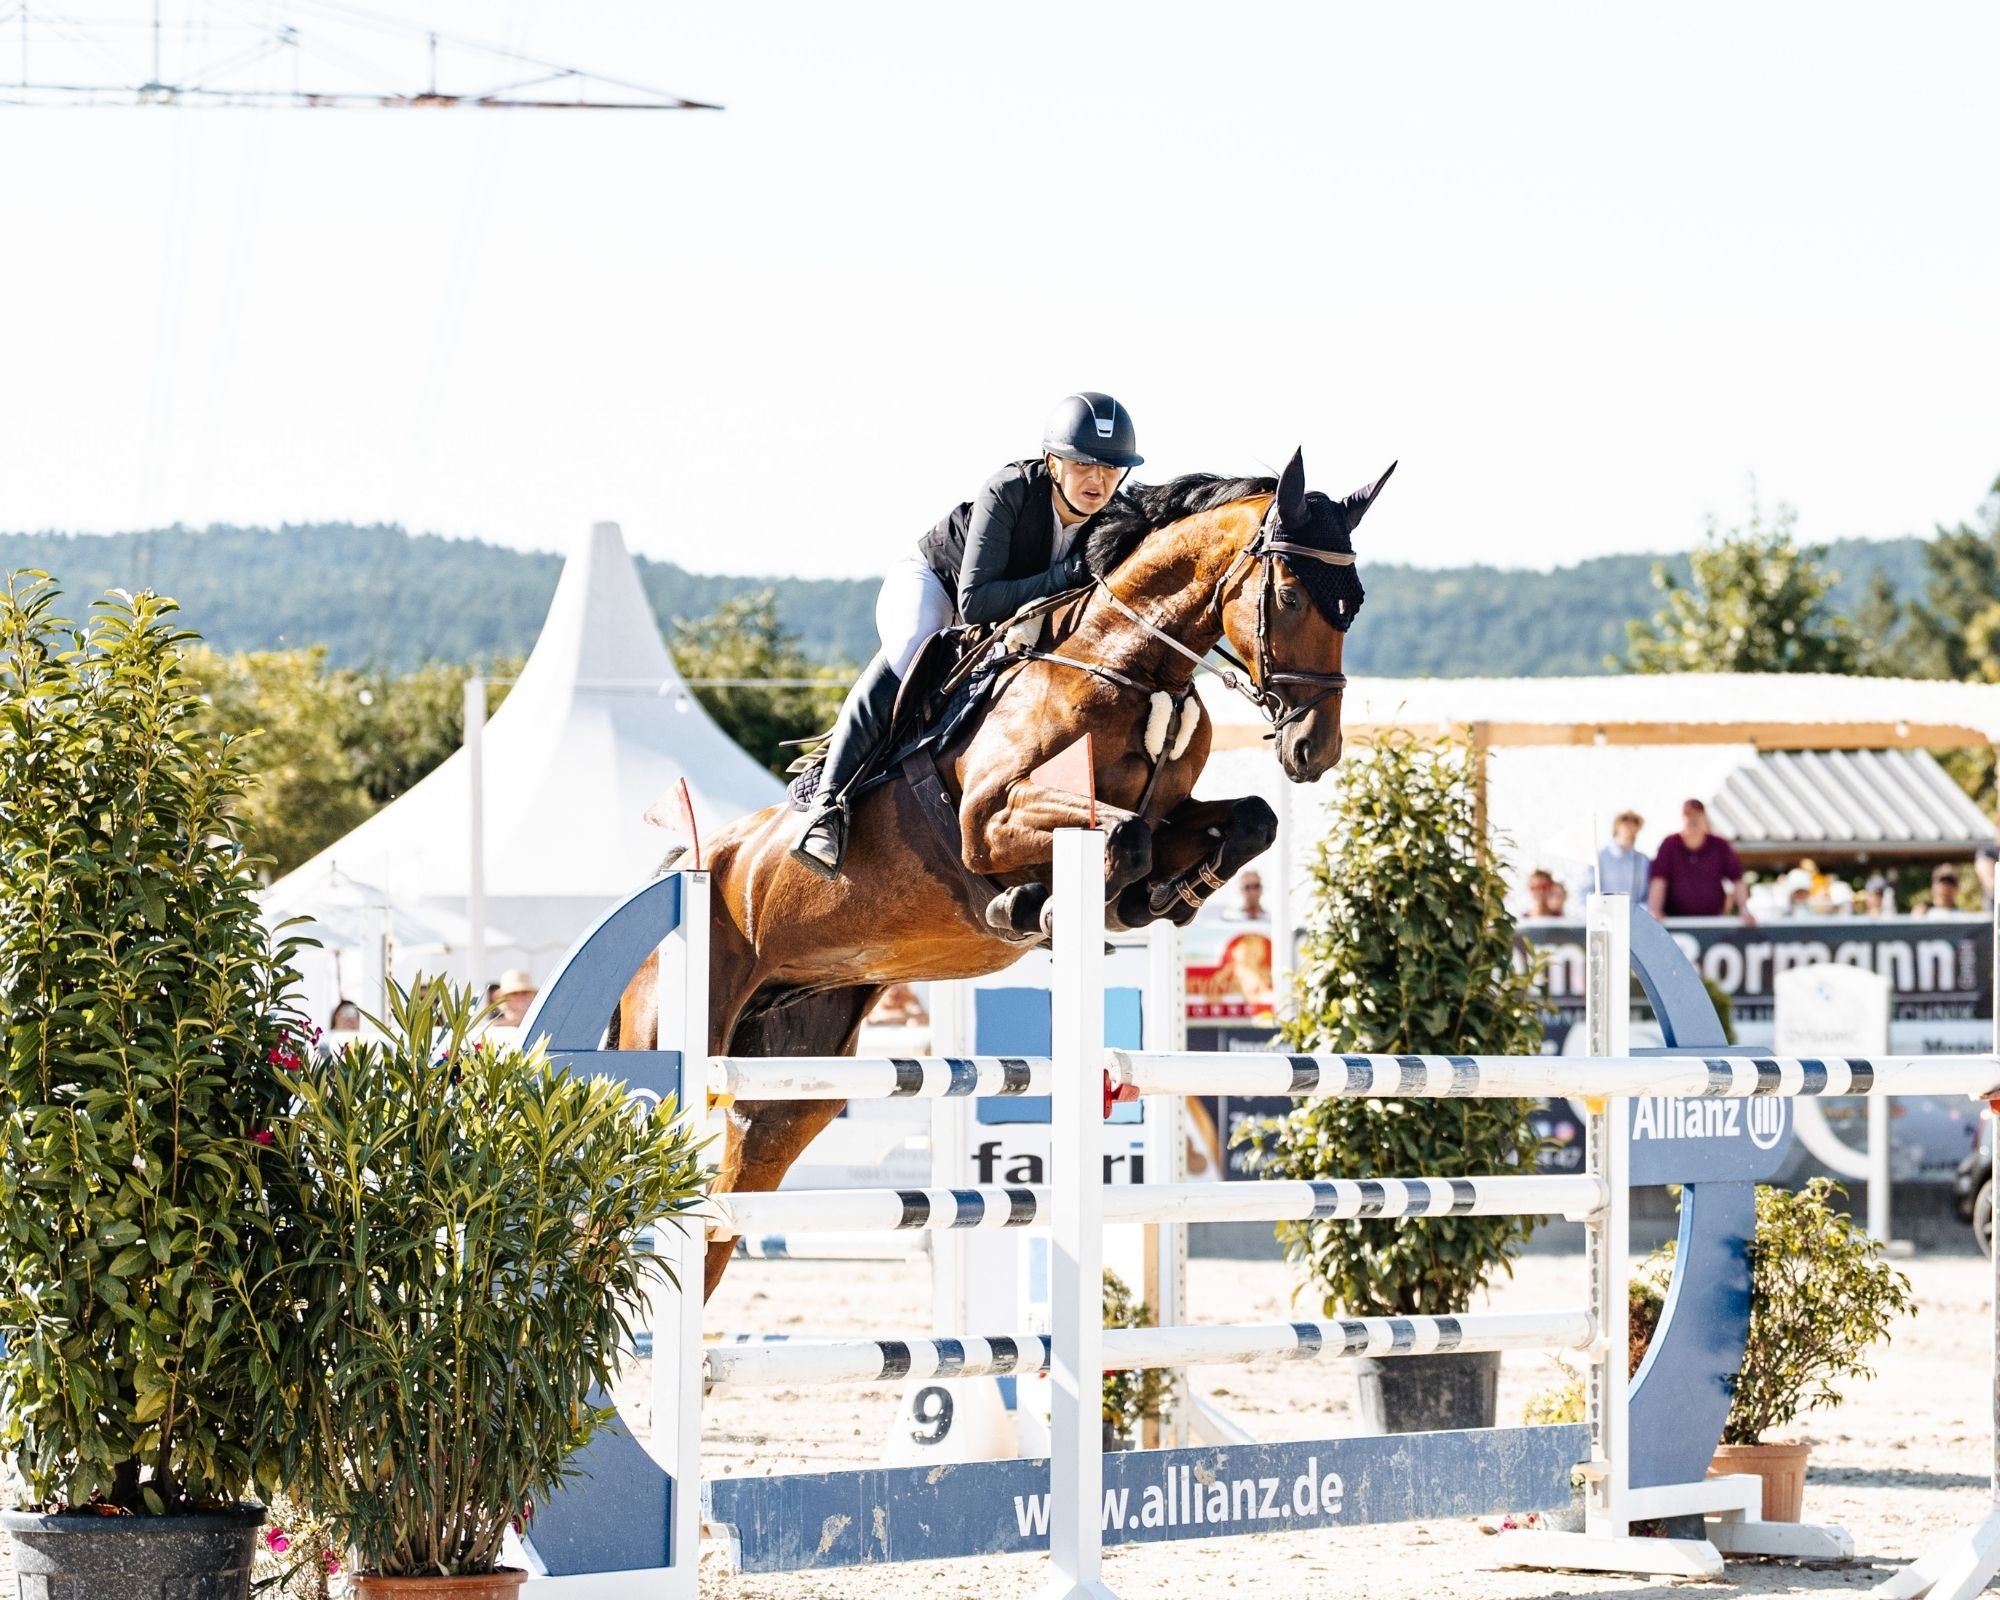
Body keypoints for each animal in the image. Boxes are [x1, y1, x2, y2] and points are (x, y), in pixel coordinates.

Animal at [615, 447, 1393, 1298]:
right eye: (1288, 595)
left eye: (1354, 606)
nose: (1314, 751)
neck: (1129, 666)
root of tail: (681, 876)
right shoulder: (989, 821)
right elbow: (1122, 839)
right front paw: (1034, 909)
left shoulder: (1173, 812)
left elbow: (1247, 819)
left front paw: (1162, 899)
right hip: (678, 1033)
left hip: (791, 1089)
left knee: (726, 1207)